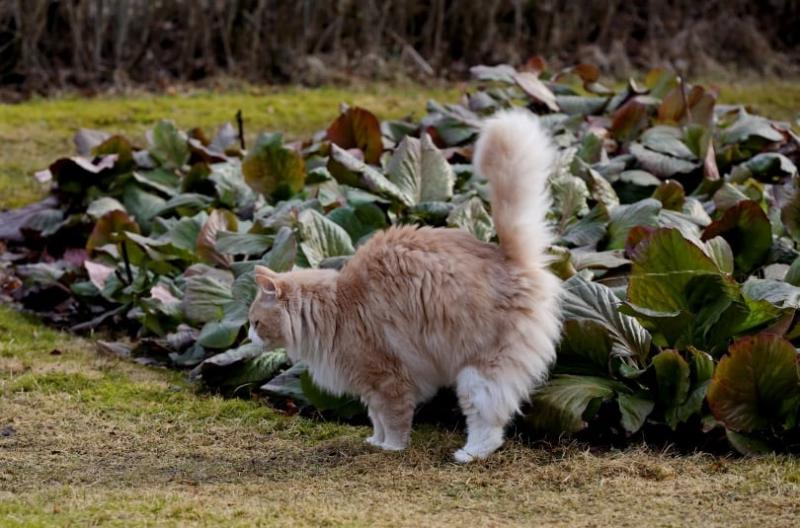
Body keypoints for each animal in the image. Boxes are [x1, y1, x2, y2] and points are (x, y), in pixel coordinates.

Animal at [250, 108, 564, 462]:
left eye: (255, 323)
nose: (248, 336)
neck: (335, 307)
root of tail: (510, 258)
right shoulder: (370, 388)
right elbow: (376, 419)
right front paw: (376, 442)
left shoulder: (388, 379)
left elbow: (394, 420)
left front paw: (392, 448)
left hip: (478, 373)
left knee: (487, 423)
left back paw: (468, 454)